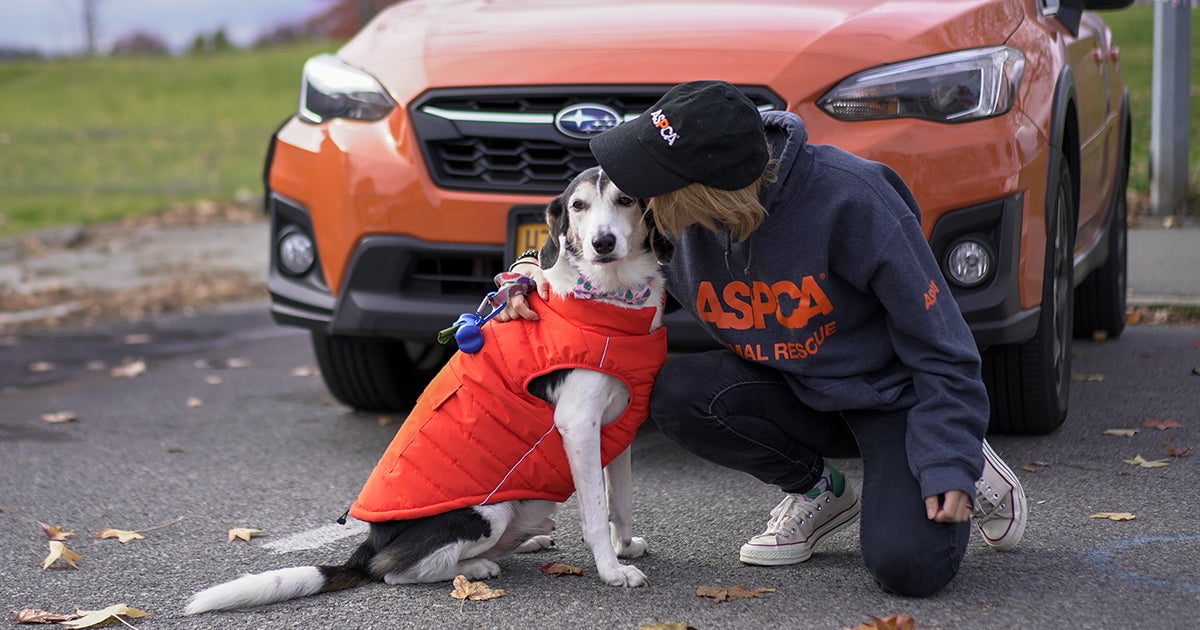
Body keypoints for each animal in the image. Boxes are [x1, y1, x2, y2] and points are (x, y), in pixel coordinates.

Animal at [184, 167, 674, 615]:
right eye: (578, 207)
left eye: (625, 200)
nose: (602, 243)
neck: (611, 299)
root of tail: (366, 547)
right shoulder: (577, 425)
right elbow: (595, 513)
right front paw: (612, 571)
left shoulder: (616, 431)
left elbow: (620, 503)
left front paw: (623, 547)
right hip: (487, 512)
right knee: (394, 571)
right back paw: (476, 568)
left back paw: (521, 544)